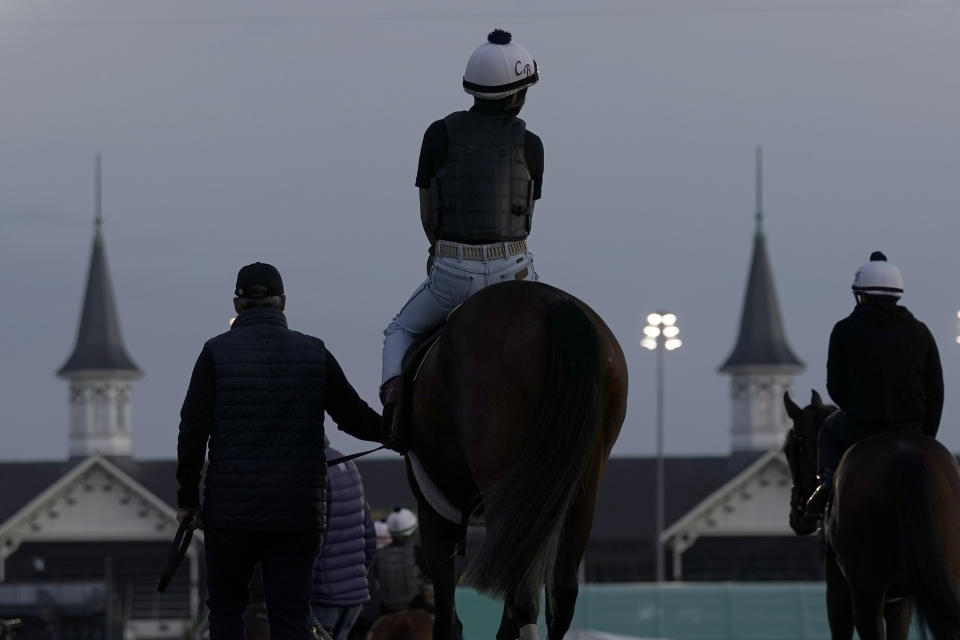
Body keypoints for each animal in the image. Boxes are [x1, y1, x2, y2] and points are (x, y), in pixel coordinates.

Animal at [404, 282, 632, 640]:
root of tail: (554, 303)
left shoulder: (434, 510)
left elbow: (447, 617)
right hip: (580, 489)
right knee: (561, 594)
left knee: (522, 595)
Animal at [784, 390, 960, 640]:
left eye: (788, 450)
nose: (796, 517)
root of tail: (904, 453)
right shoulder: (900, 603)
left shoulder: (837, 594)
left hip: (866, 593)